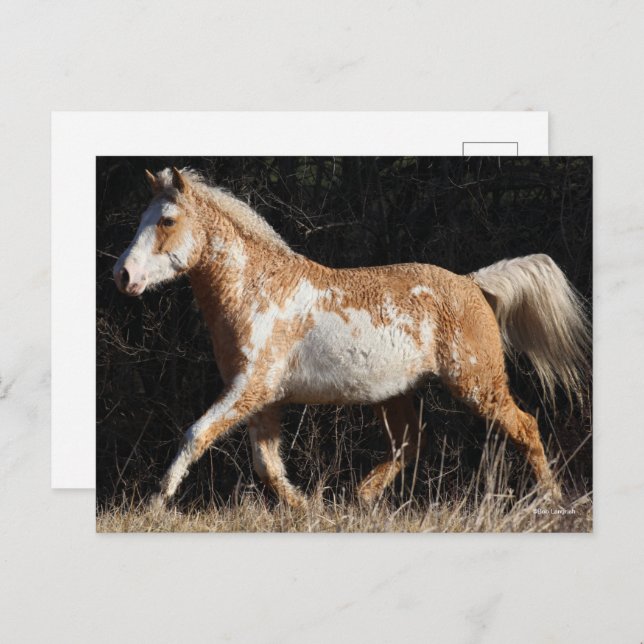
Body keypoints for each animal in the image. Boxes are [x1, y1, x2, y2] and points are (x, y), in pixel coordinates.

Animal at [113, 167, 590, 509]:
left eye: (167, 220)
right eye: (140, 219)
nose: (123, 275)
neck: (257, 289)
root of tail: (472, 283)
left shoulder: (251, 387)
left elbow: (196, 435)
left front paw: (156, 502)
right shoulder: (262, 398)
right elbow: (268, 466)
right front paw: (307, 508)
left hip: (477, 384)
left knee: (525, 427)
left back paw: (552, 501)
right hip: (396, 394)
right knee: (409, 444)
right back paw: (362, 495)